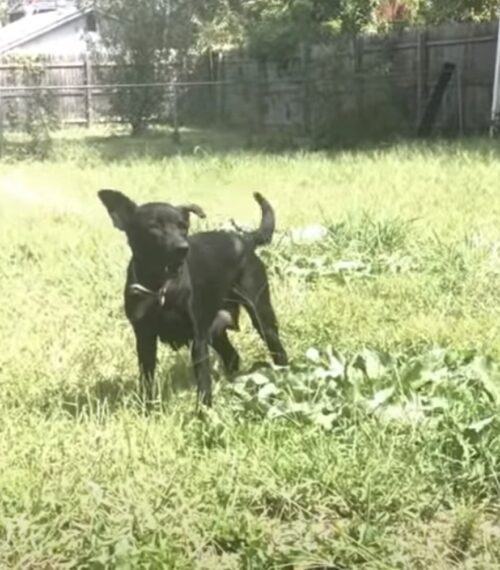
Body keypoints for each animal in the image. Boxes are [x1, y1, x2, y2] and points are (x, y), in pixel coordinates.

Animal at [98, 189, 288, 407]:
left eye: (183, 226)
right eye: (154, 226)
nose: (182, 247)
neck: (161, 287)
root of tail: (245, 239)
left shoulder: (198, 339)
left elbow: (203, 382)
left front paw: (204, 410)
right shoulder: (144, 339)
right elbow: (147, 379)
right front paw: (148, 408)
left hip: (260, 315)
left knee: (276, 348)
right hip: (216, 329)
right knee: (232, 356)